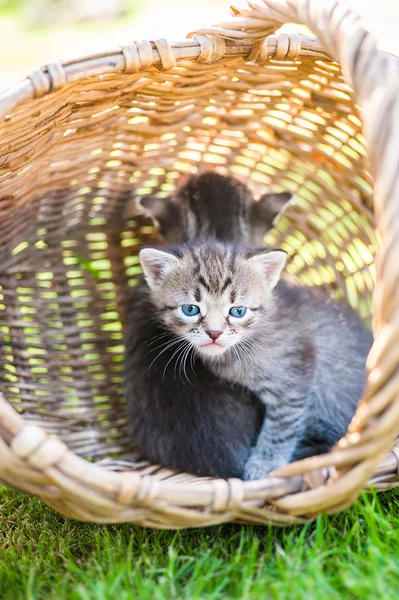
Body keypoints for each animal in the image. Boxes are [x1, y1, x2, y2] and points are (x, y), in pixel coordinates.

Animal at [139, 239, 374, 478]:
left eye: (238, 311)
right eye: (190, 309)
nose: (214, 333)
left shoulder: (295, 376)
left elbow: (282, 426)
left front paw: (264, 464)